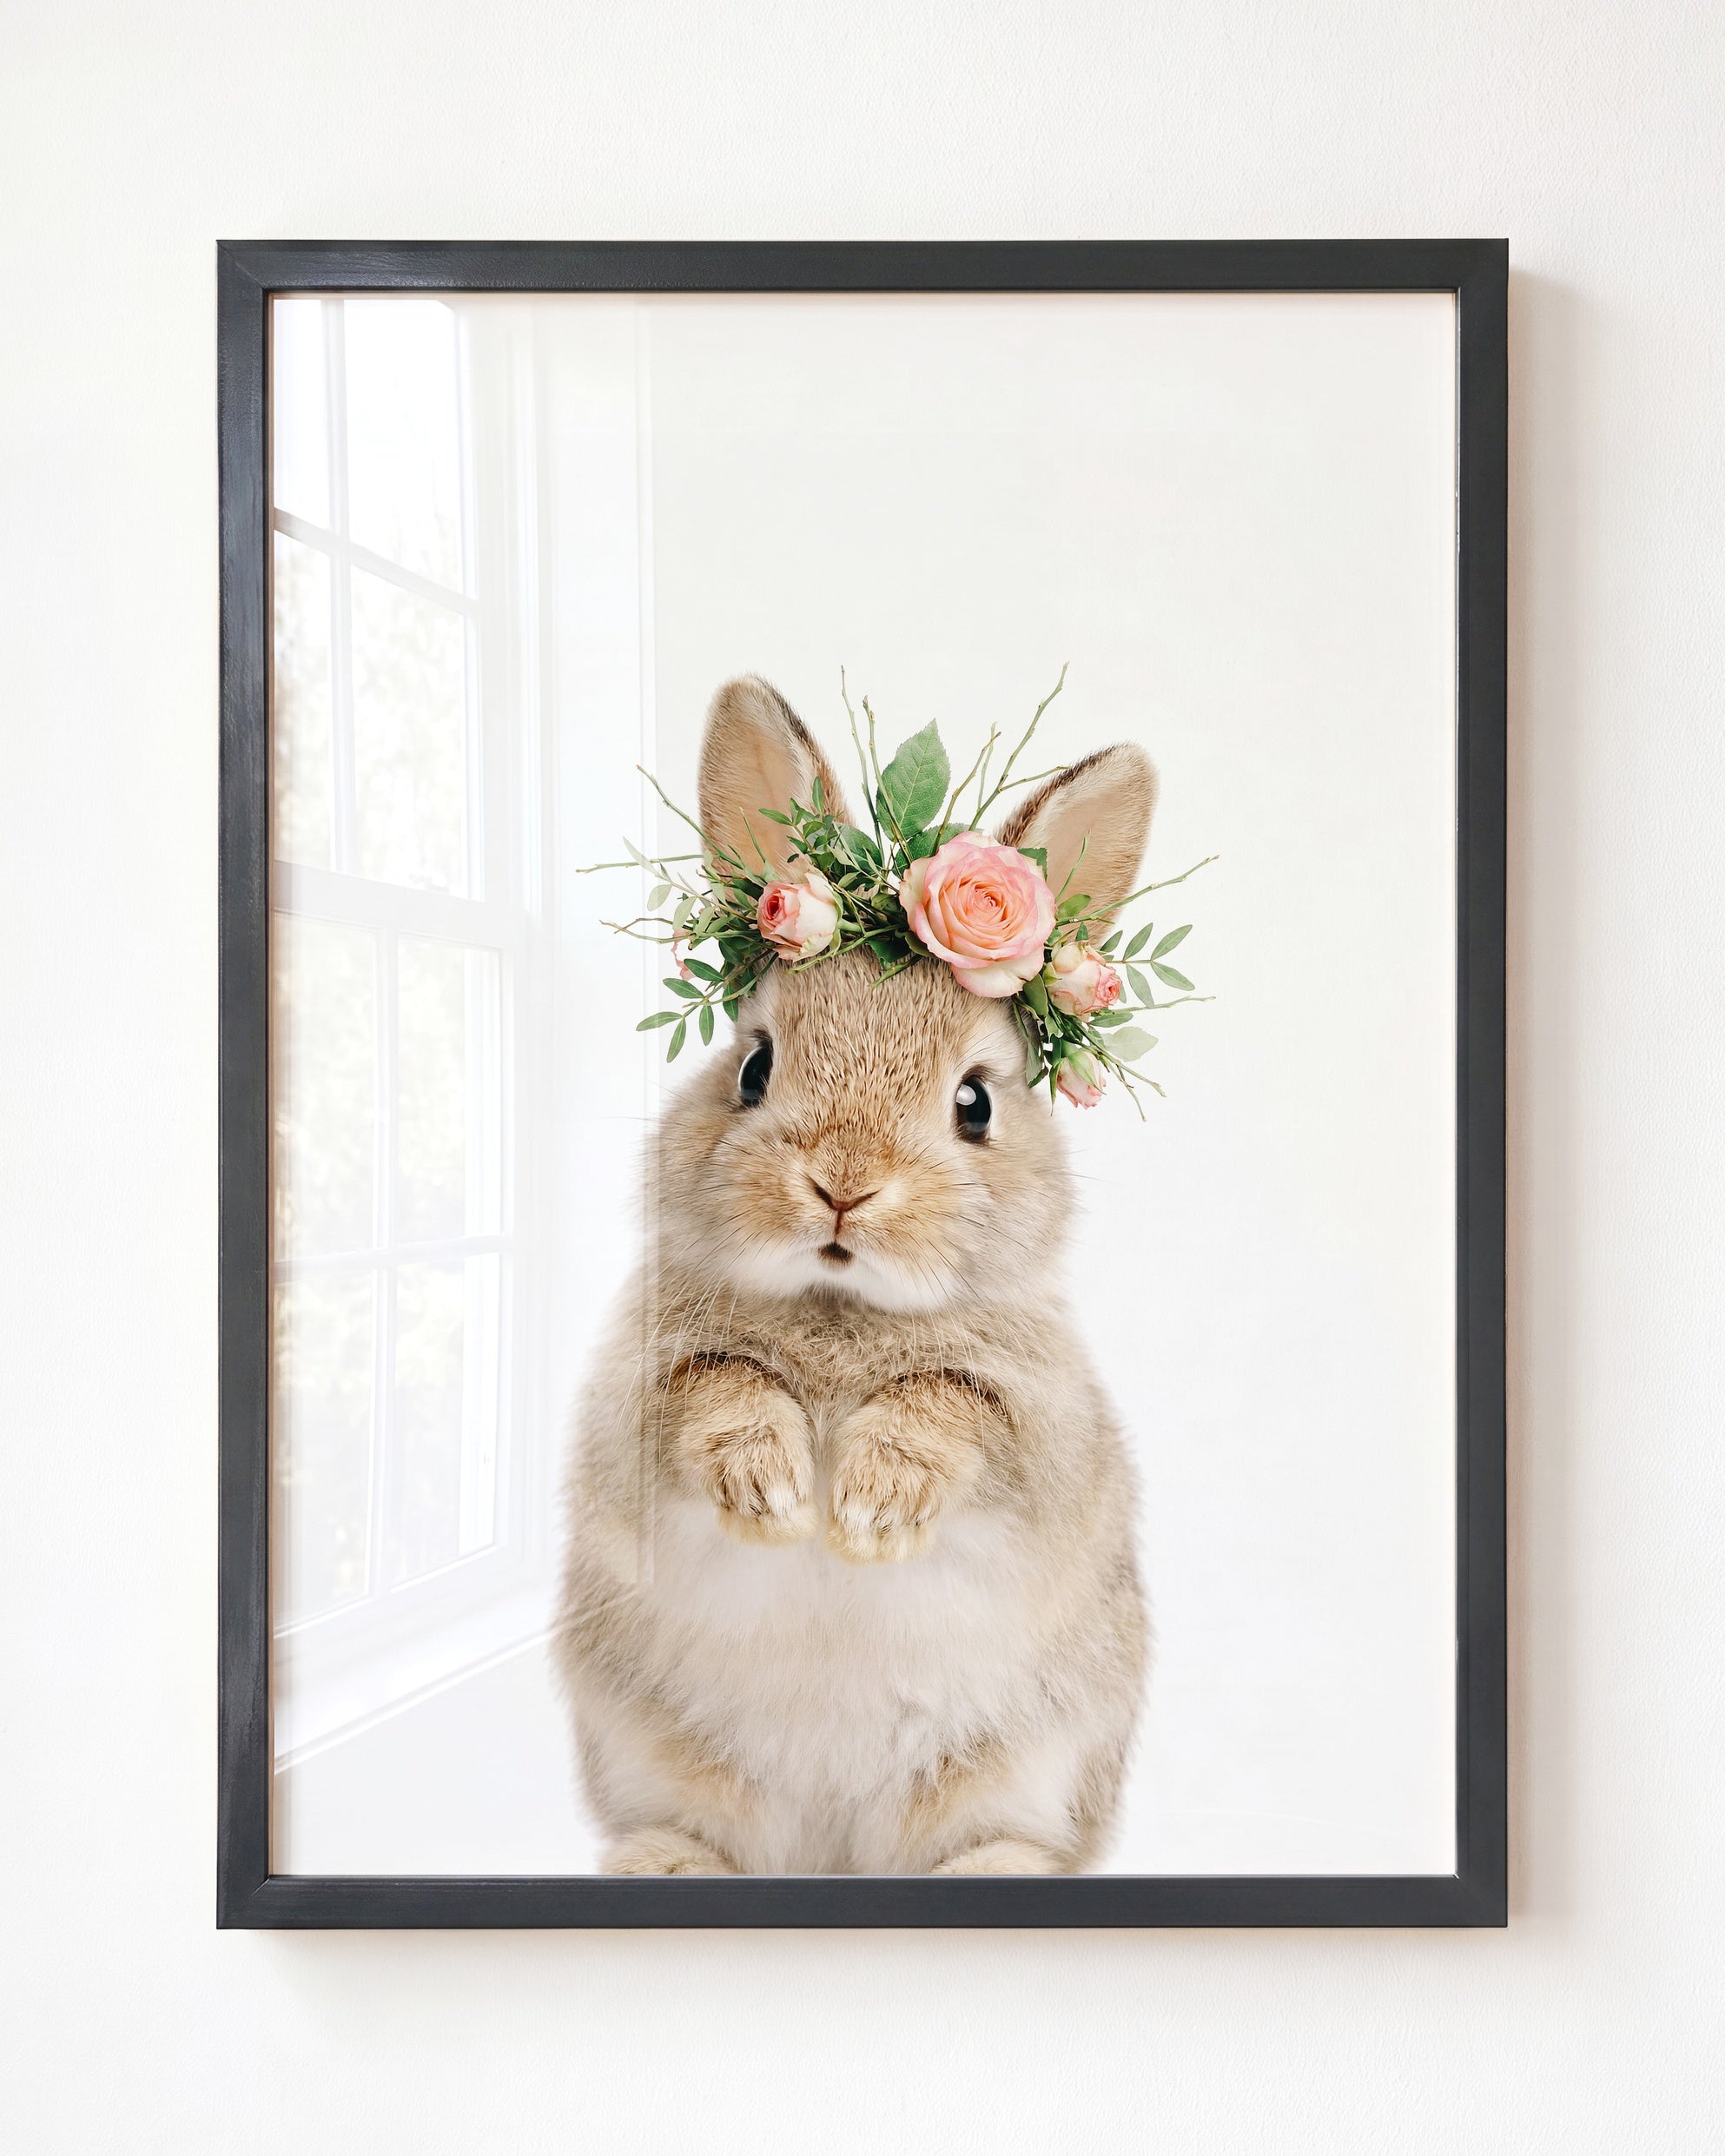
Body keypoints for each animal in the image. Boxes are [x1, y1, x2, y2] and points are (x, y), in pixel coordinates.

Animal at [552, 675, 1155, 1876]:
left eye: (975, 1101)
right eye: (753, 1066)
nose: (843, 1185)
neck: (842, 1307)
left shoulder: (1044, 1428)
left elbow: (952, 1406)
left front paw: (869, 1507)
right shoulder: (636, 1394)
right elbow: (715, 1386)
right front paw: (776, 1493)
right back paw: (666, 1865)